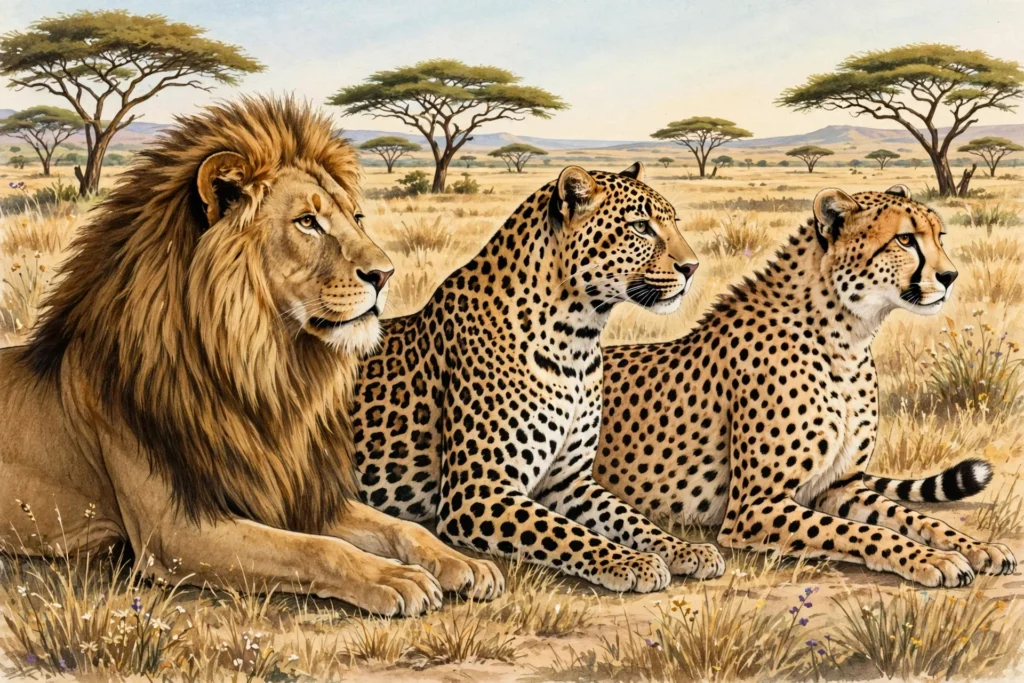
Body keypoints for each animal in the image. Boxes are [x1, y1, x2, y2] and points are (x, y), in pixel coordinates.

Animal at [353, 163, 725, 592]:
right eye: (640, 227)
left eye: (673, 223)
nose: (692, 267)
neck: (577, 339)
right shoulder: (477, 492)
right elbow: (567, 535)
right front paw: (632, 562)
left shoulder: (569, 482)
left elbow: (630, 518)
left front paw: (685, 549)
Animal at [595, 184, 1016, 588]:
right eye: (905, 240)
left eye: (939, 236)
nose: (950, 277)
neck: (846, 338)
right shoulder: (754, 507)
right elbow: (863, 533)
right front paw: (932, 559)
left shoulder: (841, 487)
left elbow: (915, 518)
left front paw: (977, 547)